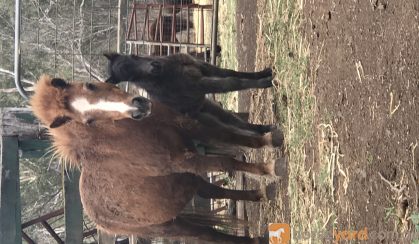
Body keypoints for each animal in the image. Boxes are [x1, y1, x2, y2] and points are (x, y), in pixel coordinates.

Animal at [30, 75, 272, 243]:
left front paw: (269, 140)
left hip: (185, 181)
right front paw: (268, 169)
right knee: (209, 234)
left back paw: (258, 195)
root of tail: (100, 220)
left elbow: (229, 136)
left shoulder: (188, 125)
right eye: (88, 121)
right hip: (172, 224)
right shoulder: (183, 160)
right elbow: (226, 162)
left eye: (90, 85)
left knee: (211, 191)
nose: (138, 105)